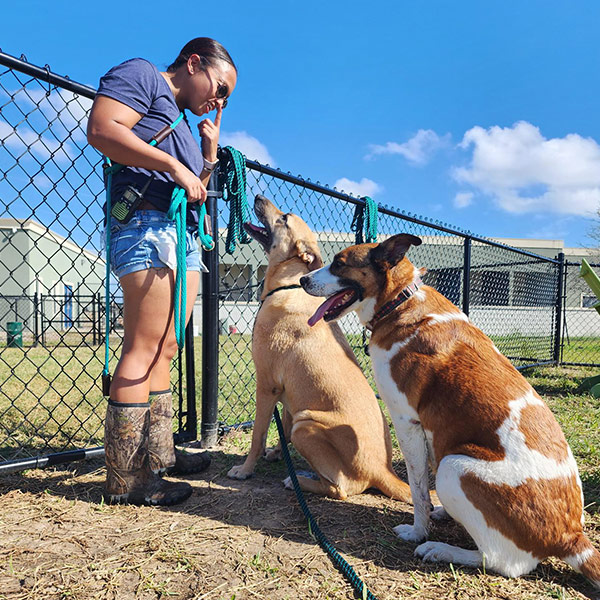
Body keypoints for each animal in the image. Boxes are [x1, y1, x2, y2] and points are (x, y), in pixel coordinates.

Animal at [226, 197, 412, 502]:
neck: (288, 286)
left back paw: (297, 481)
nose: (258, 199)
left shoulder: (266, 386)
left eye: (284, 218)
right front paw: (277, 454)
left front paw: (245, 470)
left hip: (306, 424)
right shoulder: (288, 393)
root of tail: (382, 471)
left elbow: (258, 435)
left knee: (341, 489)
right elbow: (282, 426)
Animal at [300, 233, 600, 584]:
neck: (400, 302)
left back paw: (440, 550)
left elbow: (418, 489)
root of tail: (570, 535)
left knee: (503, 562)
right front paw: (433, 515)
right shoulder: (429, 432)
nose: (302, 280)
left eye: (340, 263)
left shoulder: (407, 422)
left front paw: (418, 531)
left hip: (454, 466)